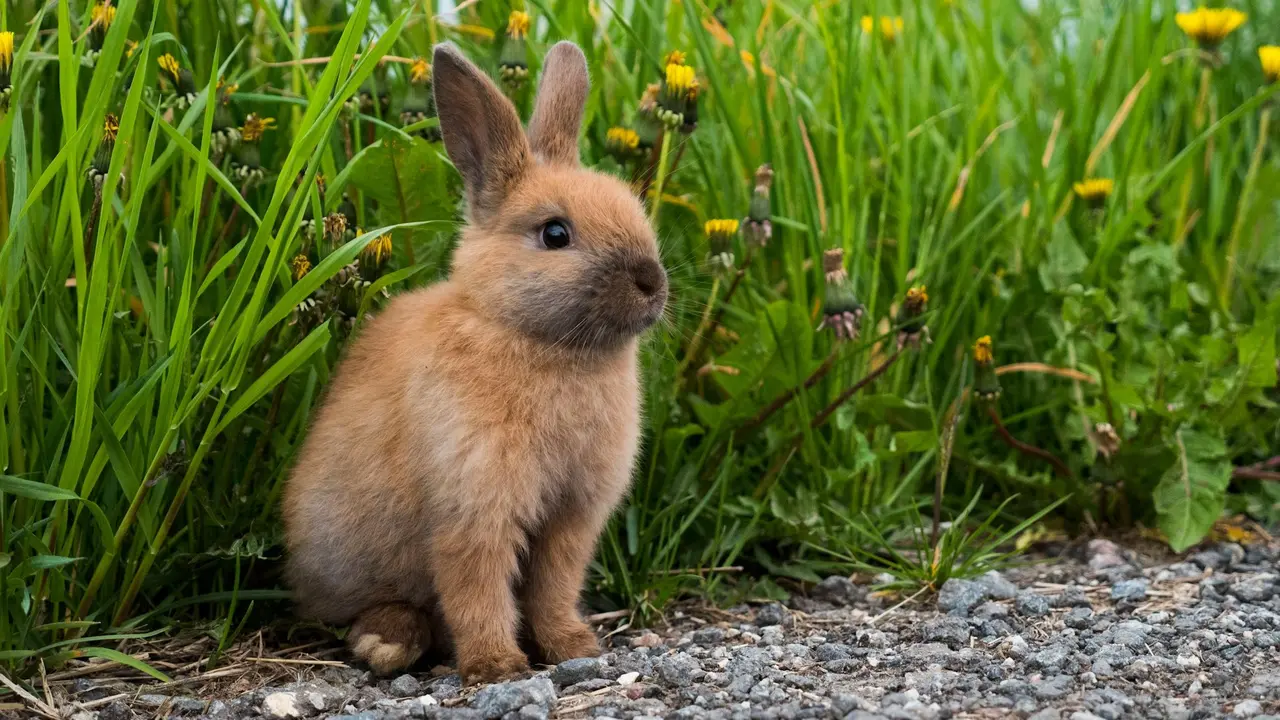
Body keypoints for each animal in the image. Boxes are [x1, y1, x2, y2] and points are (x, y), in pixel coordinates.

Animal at [282, 40, 668, 685]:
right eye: (555, 233)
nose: (652, 283)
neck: (534, 339)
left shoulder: (571, 519)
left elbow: (552, 587)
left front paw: (574, 647)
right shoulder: (473, 507)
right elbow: (477, 588)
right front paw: (496, 666)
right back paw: (386, 642)